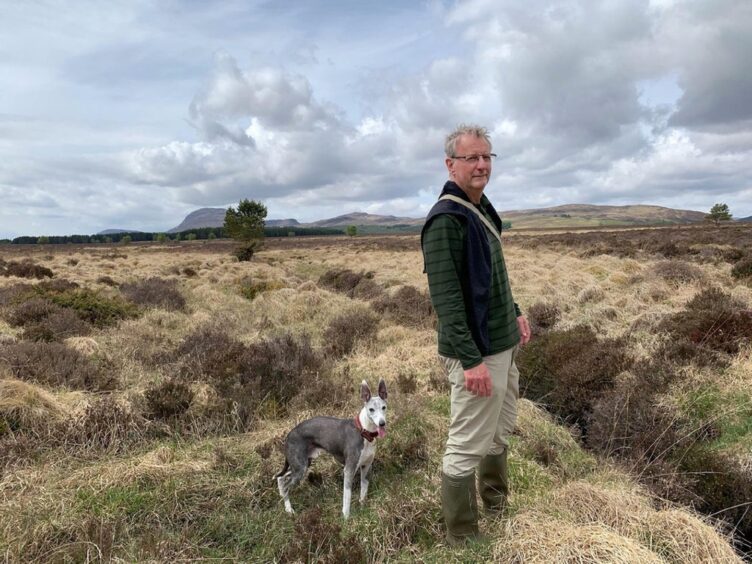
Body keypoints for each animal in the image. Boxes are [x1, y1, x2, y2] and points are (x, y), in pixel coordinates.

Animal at [276, 378, 388, 520]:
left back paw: (281, 496)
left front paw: (363, 508)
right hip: (300, 468)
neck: (363, 431)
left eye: (384, 407)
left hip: (301, 464)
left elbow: (364, 489)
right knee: (286, 485)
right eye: (371, 409)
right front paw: (346, 518)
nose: (382, 423)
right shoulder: (349, 469)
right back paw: (289, 509)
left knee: (281, 478)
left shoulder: (366, 467)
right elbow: (347, 496)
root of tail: (289, 435)